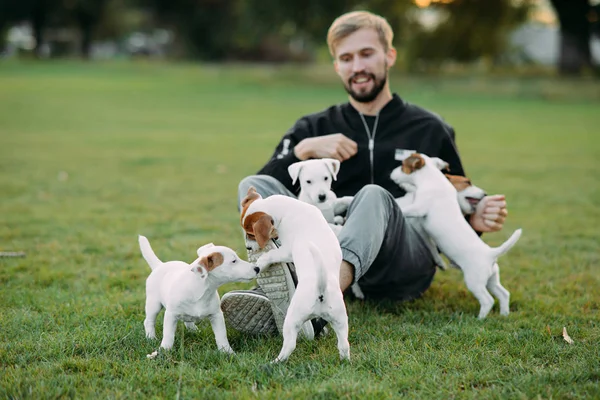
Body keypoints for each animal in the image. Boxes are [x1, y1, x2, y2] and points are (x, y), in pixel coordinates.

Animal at [240, 187, 352, 362]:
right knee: (344, 344)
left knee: (290, 345)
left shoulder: (286, 251)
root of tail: (320, 291)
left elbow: (272, 255)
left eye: (251, 234)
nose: (249, 248)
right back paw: (345, 360)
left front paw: (261, 262)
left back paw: (275, 362)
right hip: (340, 320)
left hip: (292, 319)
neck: (287, 209)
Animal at [390, 153, 520, 318]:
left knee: (487, 300)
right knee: (504, 293)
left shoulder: (419, 207)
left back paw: (480, 319)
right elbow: (431, 247)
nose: (391, 174)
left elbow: (407, 208)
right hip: (491, 279)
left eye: (402, 166)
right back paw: (504, 314)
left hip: (474, 281)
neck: (432, 178)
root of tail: (491, 253)